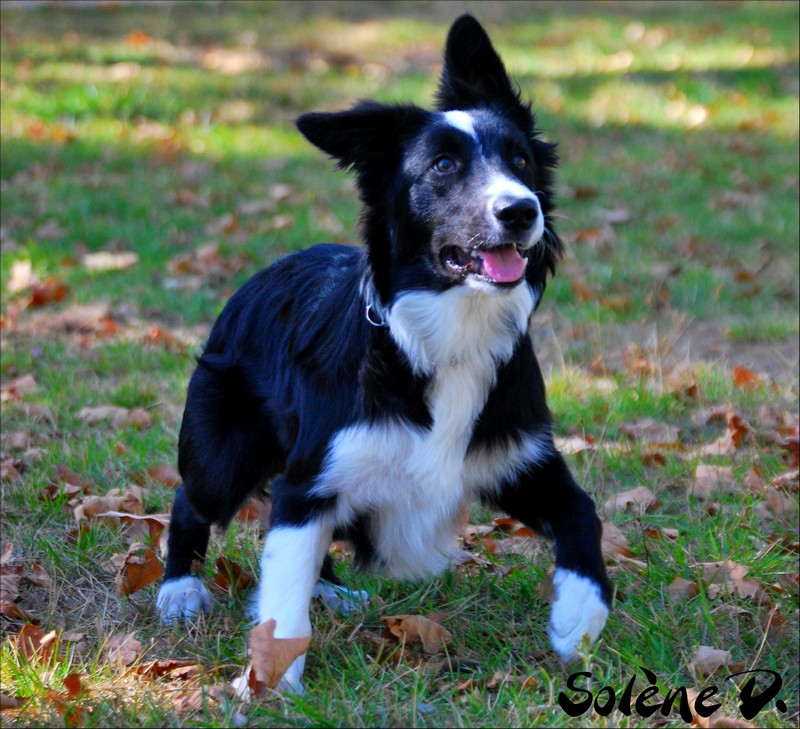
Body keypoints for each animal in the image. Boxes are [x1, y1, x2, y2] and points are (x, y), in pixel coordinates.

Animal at [158, 15, 612, 688]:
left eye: (521, 160)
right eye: (443, 165)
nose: (520, 209)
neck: (442, 338)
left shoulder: (521, 456)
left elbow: (583, 511)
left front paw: (578, 618)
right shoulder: (312, 477)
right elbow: (283, 588)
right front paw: (274, 680)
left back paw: (330, 590)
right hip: (225, 449)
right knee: (192, 499)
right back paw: (179, 588)